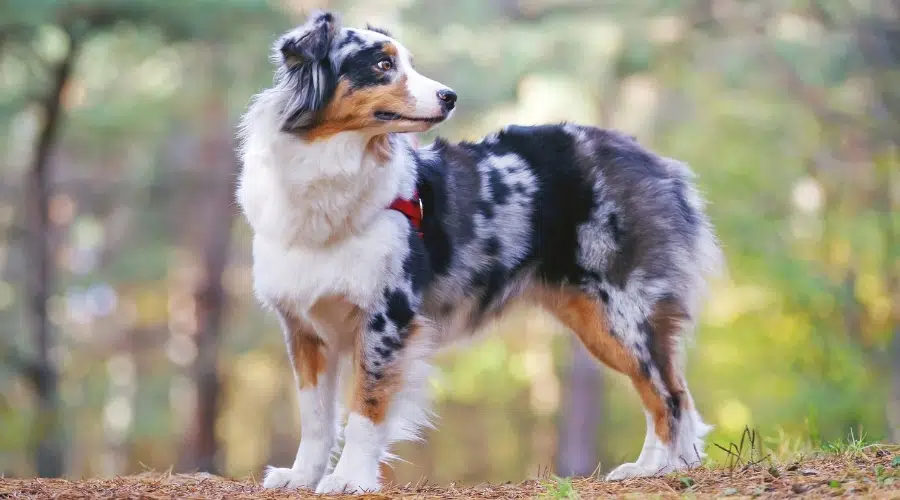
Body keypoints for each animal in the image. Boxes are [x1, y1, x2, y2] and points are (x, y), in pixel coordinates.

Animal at [234, 9, 724, 494]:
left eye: (407, 63)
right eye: (383, 64)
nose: (449, 97)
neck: (330, 168)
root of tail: (656, 162)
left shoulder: (387, 317)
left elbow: (365, 408)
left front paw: (350, 478)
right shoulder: (304, 325)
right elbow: (316, 417)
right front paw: (302, 476)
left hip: (621, 311)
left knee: (668, 394)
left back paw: (656, 469)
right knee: (670, 391)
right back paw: (663, 467)